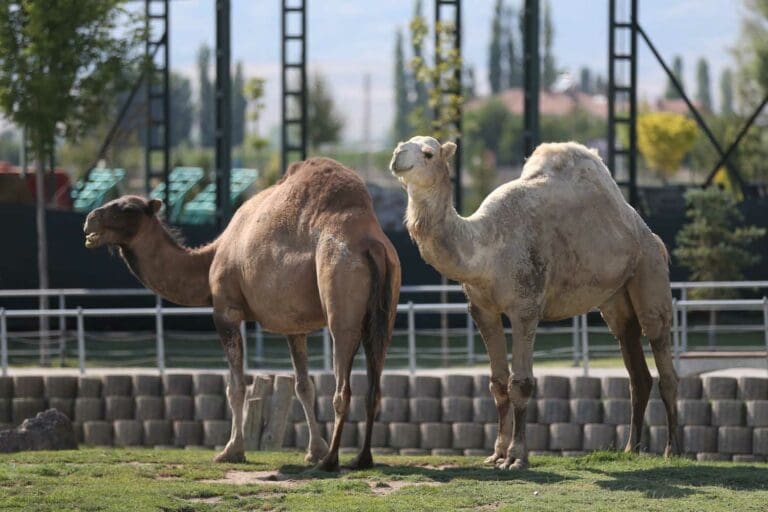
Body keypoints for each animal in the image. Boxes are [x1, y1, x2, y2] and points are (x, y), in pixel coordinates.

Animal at [83, 157, 401, 471]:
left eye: (127, 208)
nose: (89, 220)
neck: (210, 258)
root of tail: (371, 244)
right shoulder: (293, 324)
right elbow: (303, 386)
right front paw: (313, 451)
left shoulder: (226, 310)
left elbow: (236, 386)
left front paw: (231, 450)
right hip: (384, 311)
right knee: (374, 384)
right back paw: (361, 458)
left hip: (340, 292)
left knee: (342, 385)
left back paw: (332, 461)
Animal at [390, 136, 680, 470]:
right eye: (402, 144)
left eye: (428, 153)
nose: (397, 157)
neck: (486, 246)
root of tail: (650, 234)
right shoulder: (482, 309)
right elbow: (497, 382)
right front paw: (496, 454)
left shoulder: (525, 306)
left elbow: (521, 383)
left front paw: (516, 457)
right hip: (616, 298)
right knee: (634, 362)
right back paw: (631, 448)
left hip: (650, 271)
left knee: (661, 349)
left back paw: (672, 450)